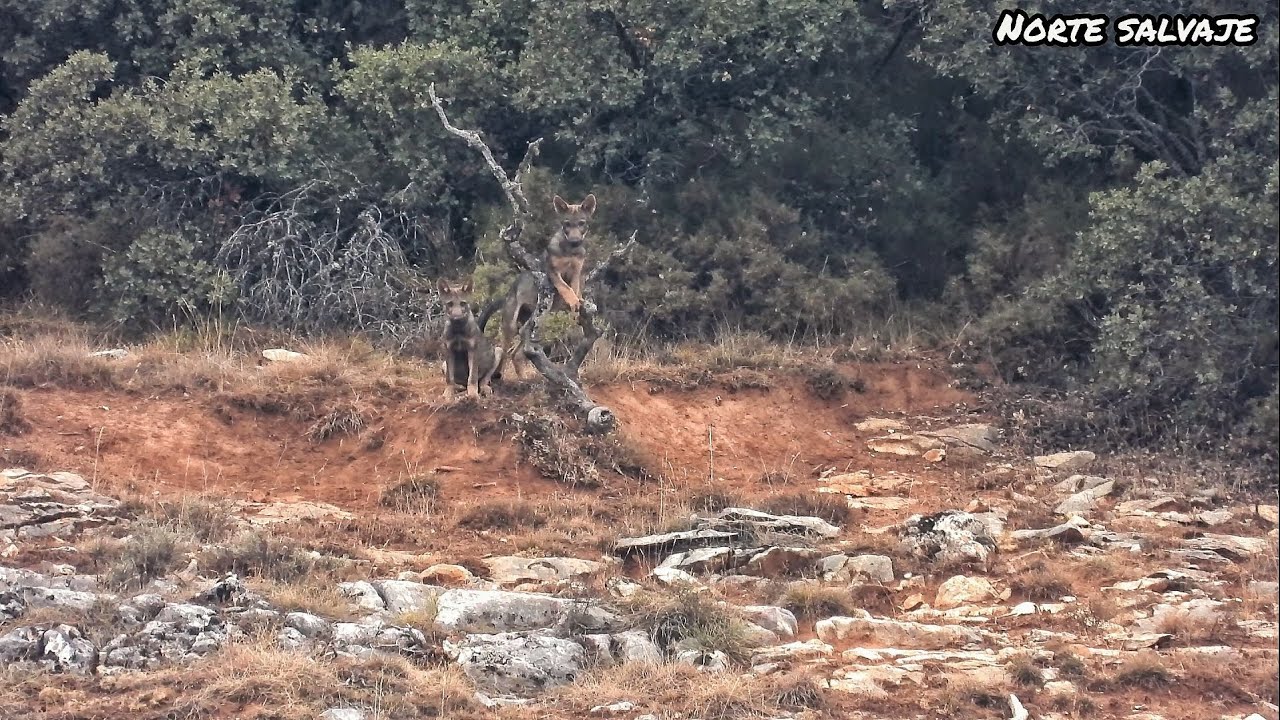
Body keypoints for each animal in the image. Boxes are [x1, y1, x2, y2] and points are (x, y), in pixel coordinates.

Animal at [477, 193, 597, 379]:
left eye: (581, 223)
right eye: (567, 224)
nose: (575, 241)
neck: (569, 251)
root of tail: (506, 295)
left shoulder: (577, 272)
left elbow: (575, 289)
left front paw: (578, 305)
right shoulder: (553, 273)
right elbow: (566, 288)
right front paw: (573, 302)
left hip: (530, 323)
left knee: (516, 353)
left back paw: (522, 379)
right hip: (511, 326)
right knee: (505, 352)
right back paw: (497, 376)